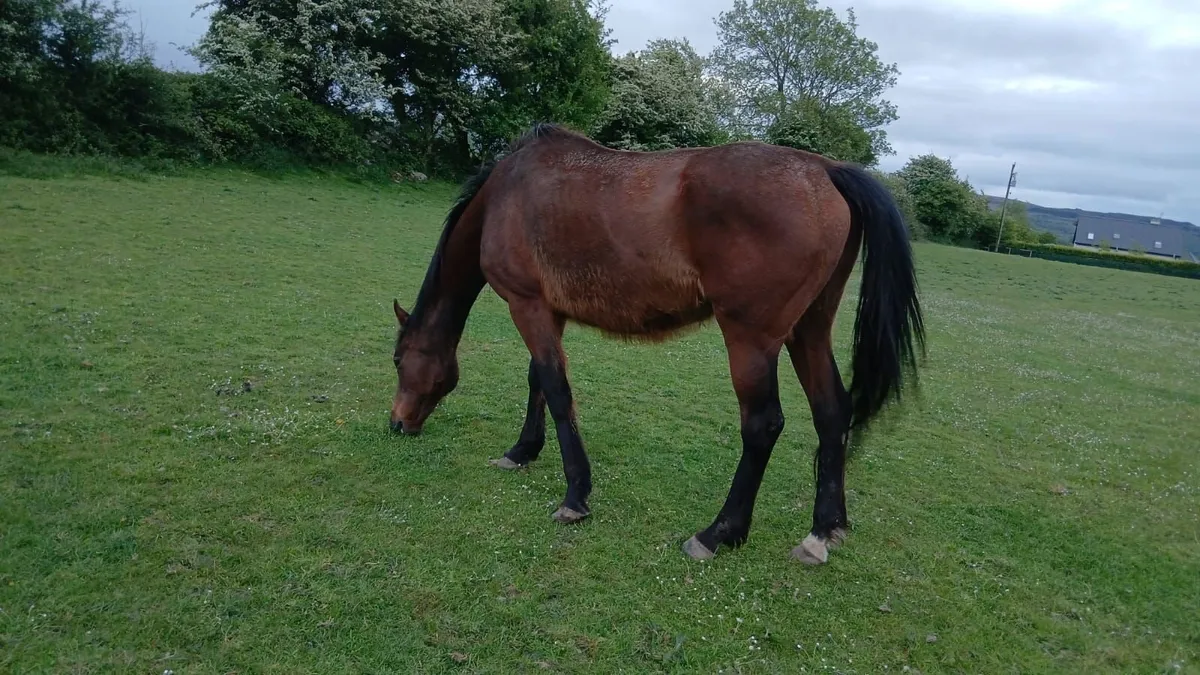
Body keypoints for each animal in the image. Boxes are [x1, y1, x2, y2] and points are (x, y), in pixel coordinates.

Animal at [389, 123, 925, 564]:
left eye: (397, 360)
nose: (397, 424)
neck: (507, 194)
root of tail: (825, 169)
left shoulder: (527, 306)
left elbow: (556, 390)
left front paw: (575, 495)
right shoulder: (547, 311)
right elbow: (537, 380)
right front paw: (523, 450)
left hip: (751, 339)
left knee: (762, 425)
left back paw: (718, 533)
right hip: (808, 329)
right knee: (832, 411)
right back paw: (823, 532)